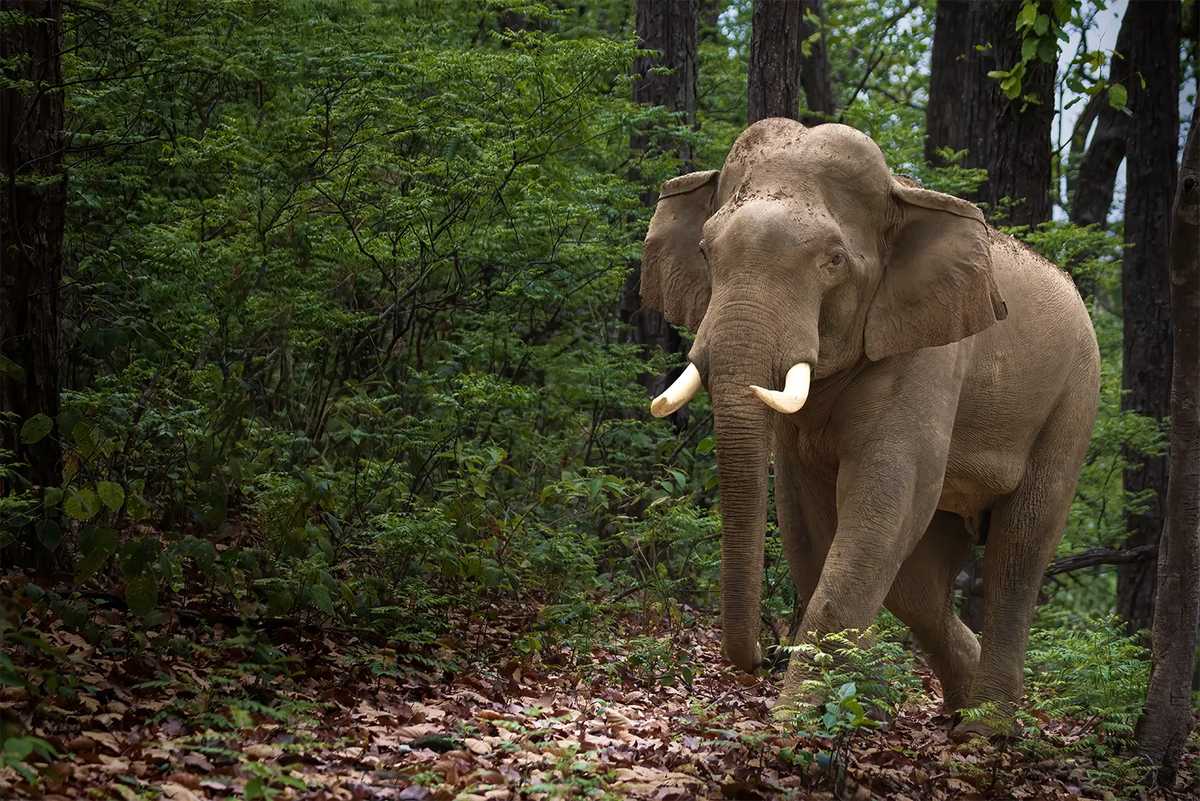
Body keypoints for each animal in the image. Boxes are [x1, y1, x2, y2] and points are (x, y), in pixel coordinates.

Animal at [639, 118, 1100, 739]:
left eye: (834, 260)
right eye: (707, 251)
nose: (760, 657)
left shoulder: (929, 351)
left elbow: (888, 493)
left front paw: (791, 723)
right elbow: (808, 517)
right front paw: (848, 712)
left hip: (1073, 401)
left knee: (1019, 550)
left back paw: (985, 733)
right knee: (921, 585)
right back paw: (959, 711)